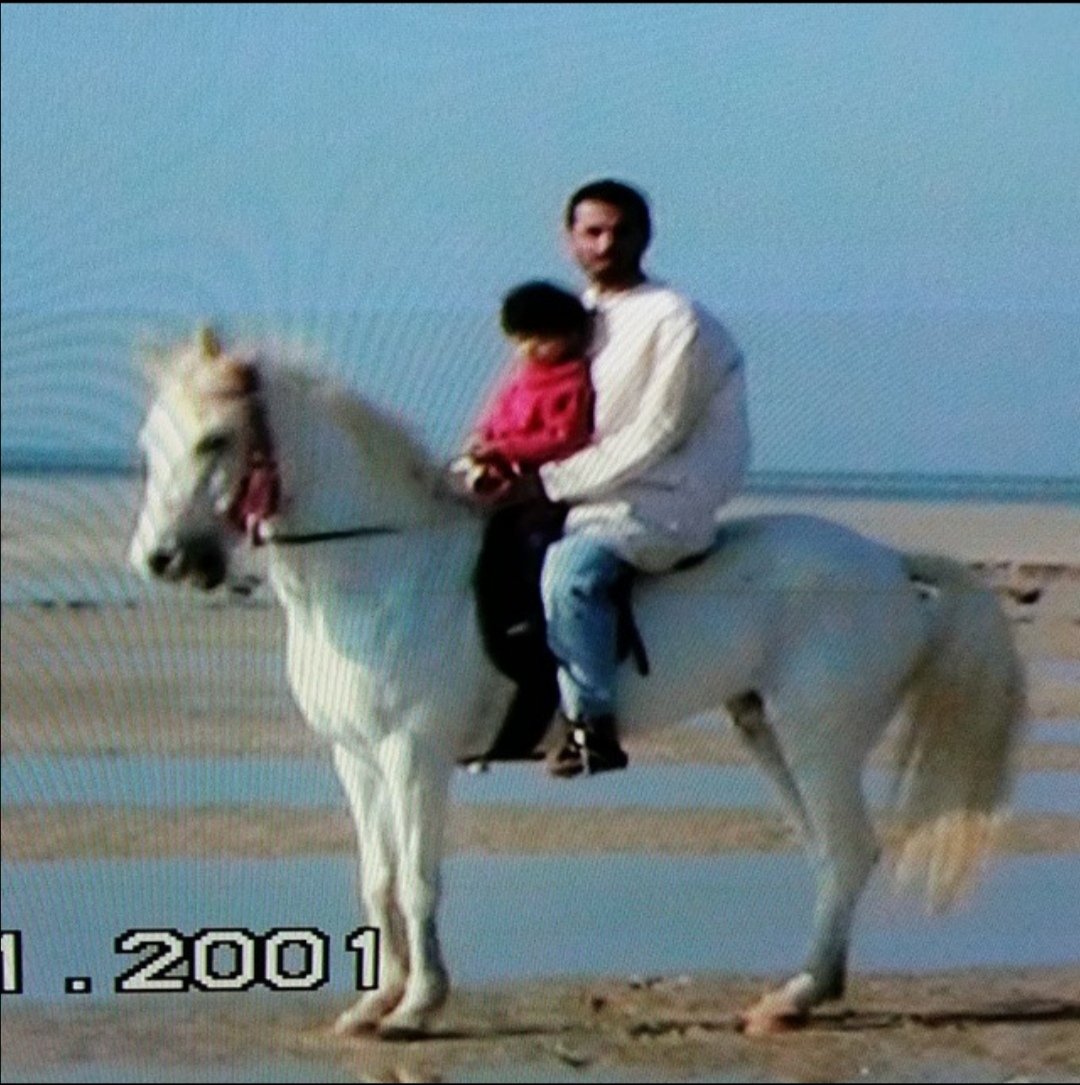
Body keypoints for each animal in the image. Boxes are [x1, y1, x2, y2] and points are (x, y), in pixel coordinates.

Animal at [128, 326, 1025, 1039]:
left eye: (215, 440)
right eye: (148, 443)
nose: (163, 559)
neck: (381, 567)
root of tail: (888, 561)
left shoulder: (414, 754)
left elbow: (418, 879)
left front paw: (418, 1007)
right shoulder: (357, 757)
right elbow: (377, 878)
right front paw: (374, 1003)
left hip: (818, 737)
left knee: (845, 848)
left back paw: (795, 996)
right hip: (767, 728)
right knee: (834, 853)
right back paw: (810, 988)